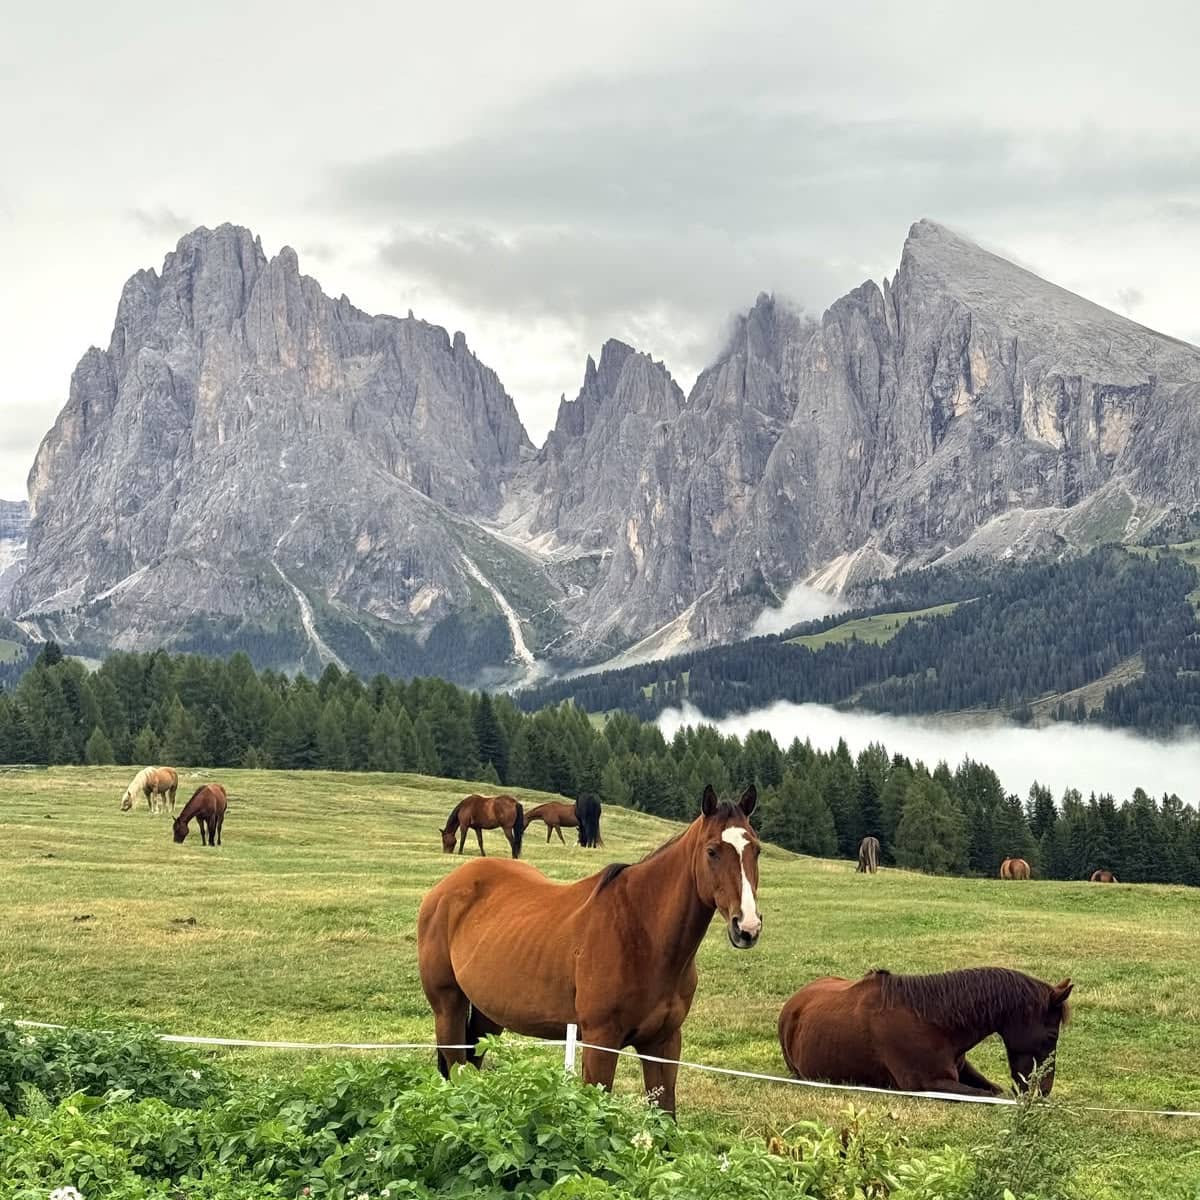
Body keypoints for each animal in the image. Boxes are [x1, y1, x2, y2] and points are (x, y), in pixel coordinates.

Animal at [417, 784, 762, 1117]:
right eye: (712, 851)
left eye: (756, 850)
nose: (747, 926)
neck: (642, 933)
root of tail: (444, 890)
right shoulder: (600, 1043)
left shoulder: (663, 1043)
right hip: (448, 1008)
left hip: (488, 1015)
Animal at [779, 966, 1072, 1098]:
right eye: (1051, 1036)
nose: (1044, 1090)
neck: (933, 1023)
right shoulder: (930, 1083)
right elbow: (988, 1095)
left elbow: (994, 1089)